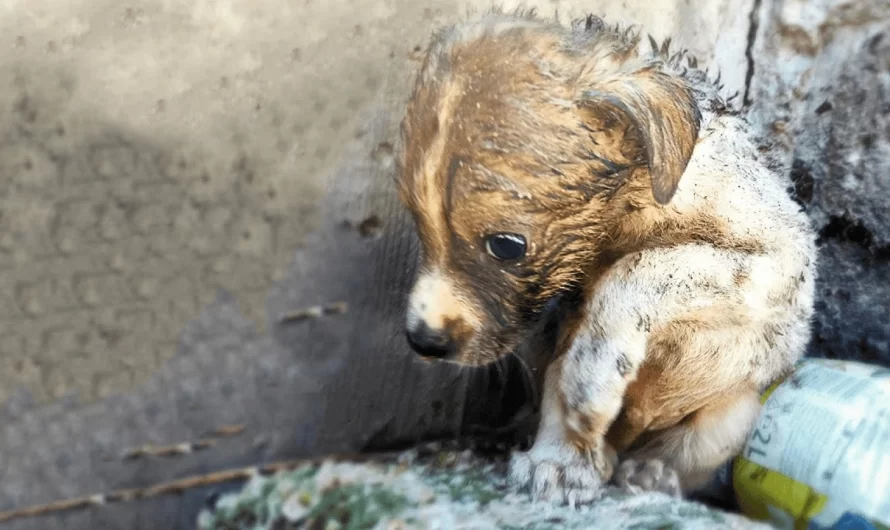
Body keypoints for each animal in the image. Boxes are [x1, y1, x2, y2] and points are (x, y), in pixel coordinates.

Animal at [392, 10, 816, 502]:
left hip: (732, 417)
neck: (637, 207)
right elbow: (560, 376)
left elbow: (643, 269)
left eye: (506, 246)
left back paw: (649, 471)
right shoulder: (565, 312)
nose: (422, 341)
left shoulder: (782, 268)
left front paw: (590, 380)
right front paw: (561, 457)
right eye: (419, 224)